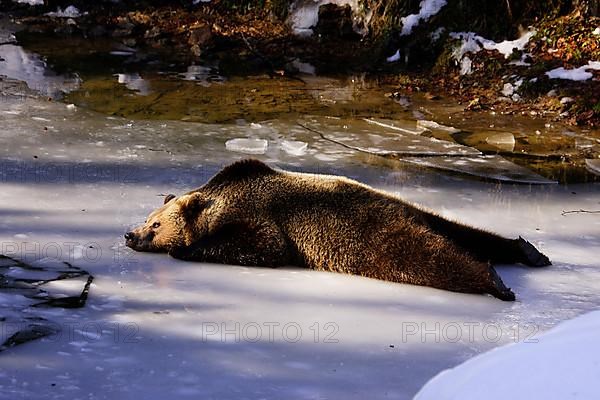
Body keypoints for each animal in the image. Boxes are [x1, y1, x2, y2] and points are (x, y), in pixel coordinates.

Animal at [125, 159, 548, 300]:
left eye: (156, 223)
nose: (130, 234)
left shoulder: (261, 216)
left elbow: (262, 247)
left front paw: (183, 248)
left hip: (370, 235)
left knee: (426, 257)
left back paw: (495, 281)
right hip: (423, 214)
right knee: (468, 232)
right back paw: (528, 251)